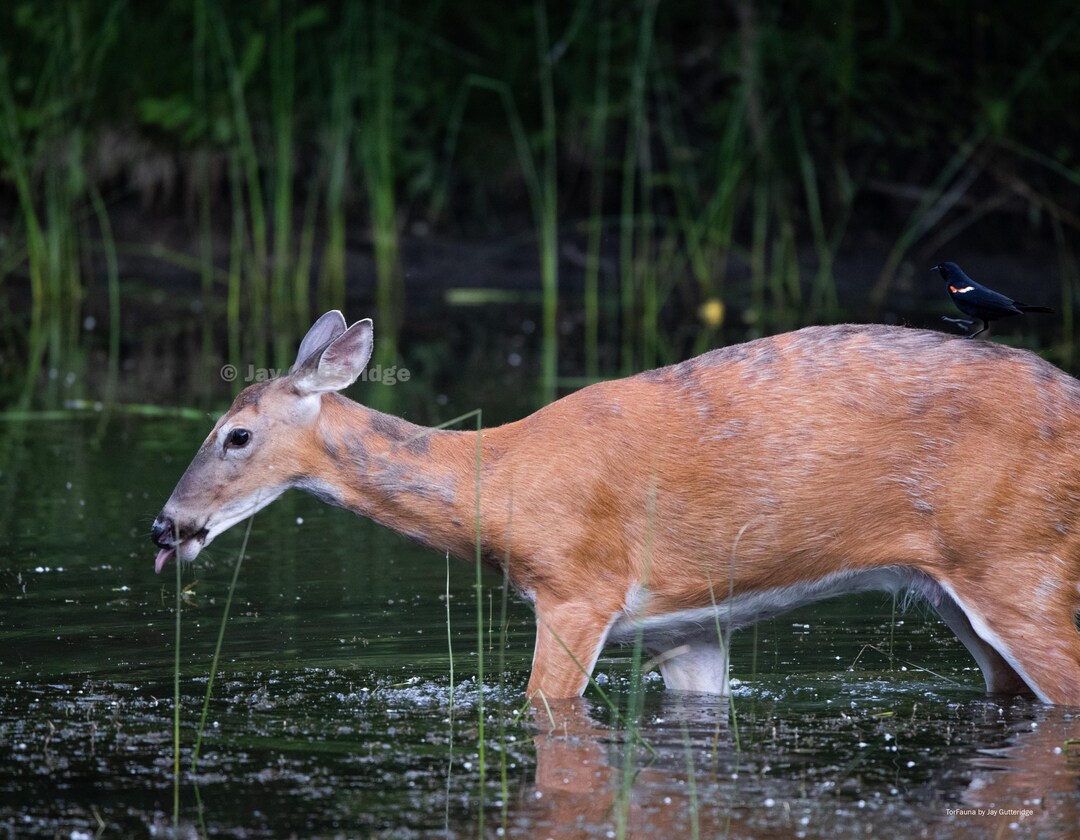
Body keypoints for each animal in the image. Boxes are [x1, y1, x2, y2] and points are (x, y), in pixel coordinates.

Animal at [151, 312, 1080, 704]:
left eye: (235, 435)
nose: (165, 527)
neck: (499, 482)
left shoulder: (578, 585)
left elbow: (543, 707)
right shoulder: (687, 626)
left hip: (1023, 562)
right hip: (960, 589)